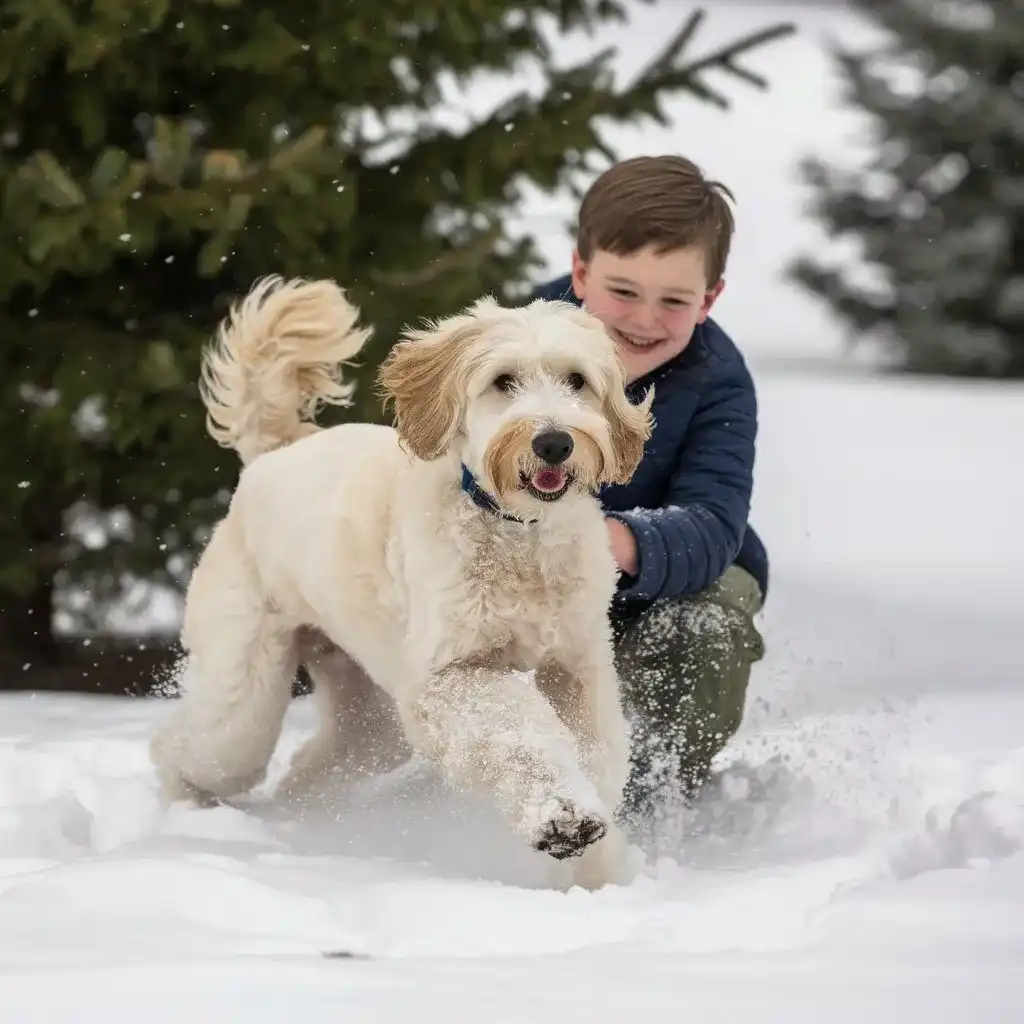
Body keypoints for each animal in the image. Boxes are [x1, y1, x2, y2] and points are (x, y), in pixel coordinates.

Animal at [148, 274, 651, 888]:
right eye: (503, 380)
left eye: (577, 379)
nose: (553, 442)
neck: (516, 536)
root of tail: (273, 457)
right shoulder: (445, 677)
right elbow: (519, 730)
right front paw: (561, 816)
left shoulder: (578, 667)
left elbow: (596, 752)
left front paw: (596, 869)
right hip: (243, 691)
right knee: (185, 744)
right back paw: (185, 811)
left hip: (365, 709)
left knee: (310, 766)